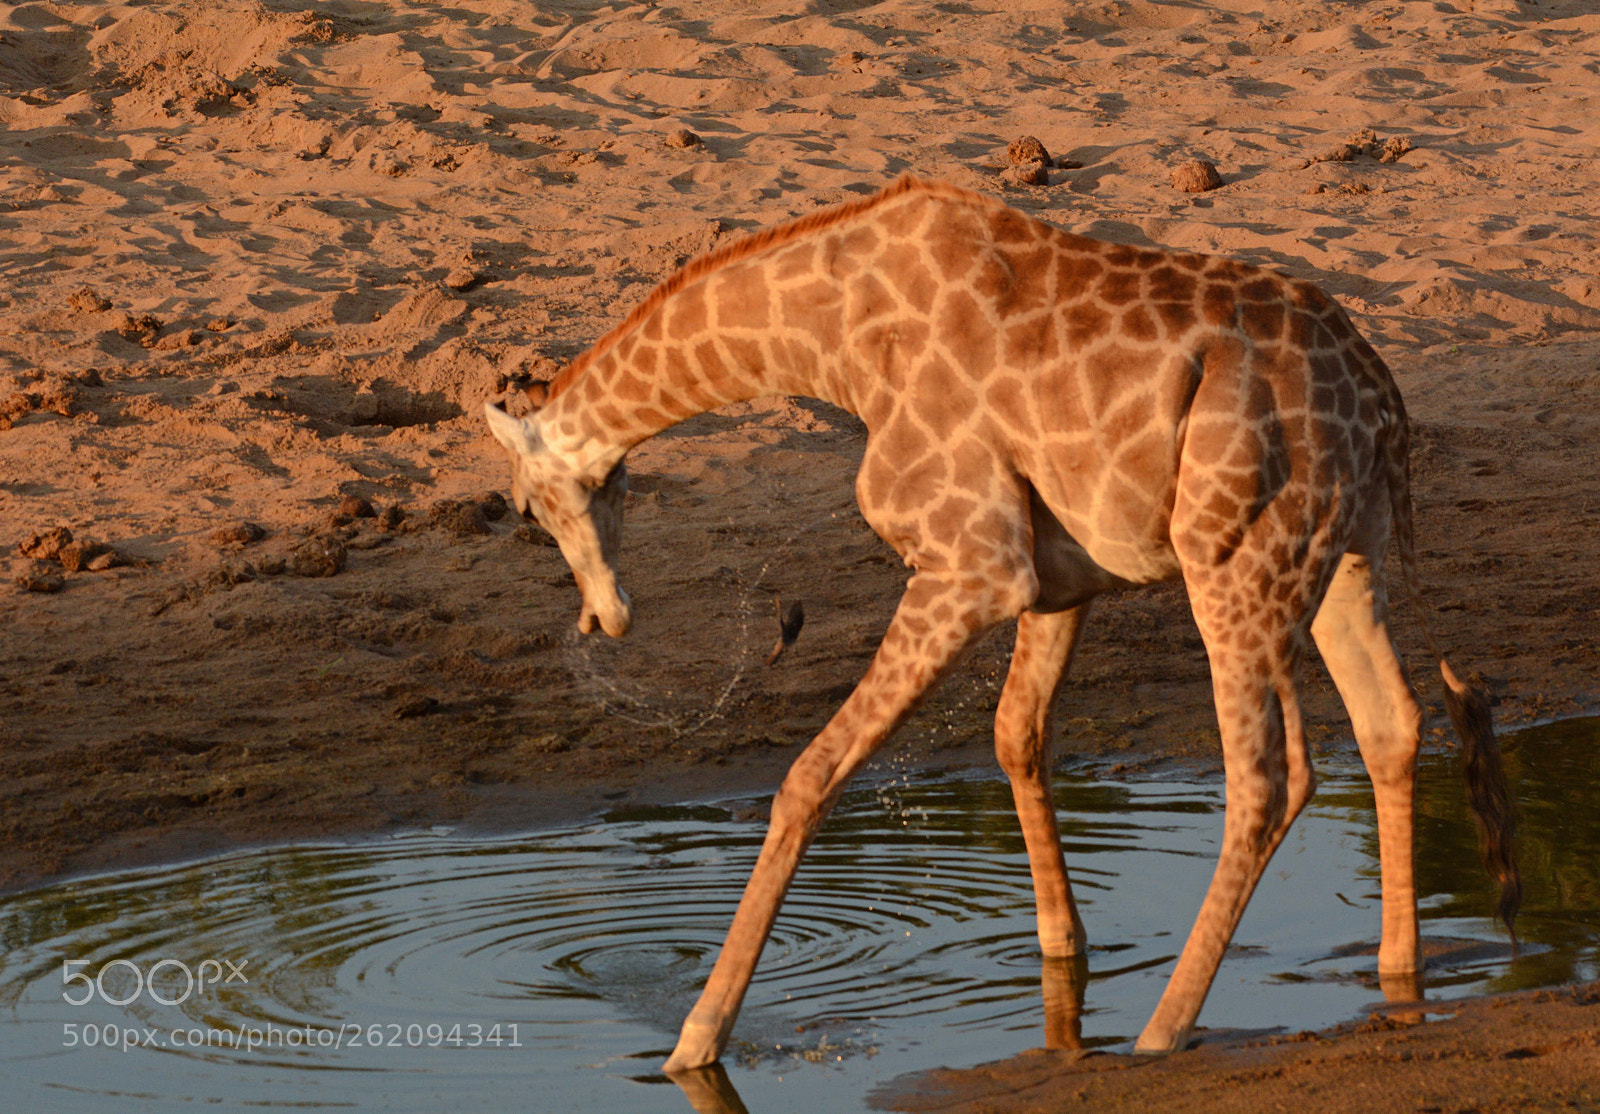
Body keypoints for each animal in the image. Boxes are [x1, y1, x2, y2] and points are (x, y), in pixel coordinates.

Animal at [482, 174, 1520, 1070]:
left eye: (527, 511)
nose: (604, 619)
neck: (836, 340)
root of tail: (1381, 392)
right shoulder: (1061, 578)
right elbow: (1016, 733)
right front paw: (1064, 956)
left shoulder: (970, 563)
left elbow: (812, 776)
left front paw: (696, 1041)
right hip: (1344, 548)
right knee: (1391, 724)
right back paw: (1398, 977)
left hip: (1233, 558)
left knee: (1270, 775)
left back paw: (1162, 1033)